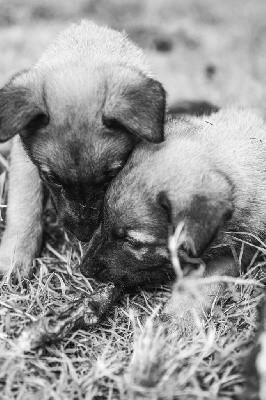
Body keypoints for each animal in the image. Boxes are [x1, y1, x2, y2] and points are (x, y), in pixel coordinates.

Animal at [0, 20, 165, 280]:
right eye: (51, 178)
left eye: (110, 176)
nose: (83, 236)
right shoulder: (24, 159)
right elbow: (24, 204)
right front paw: (16, 255)